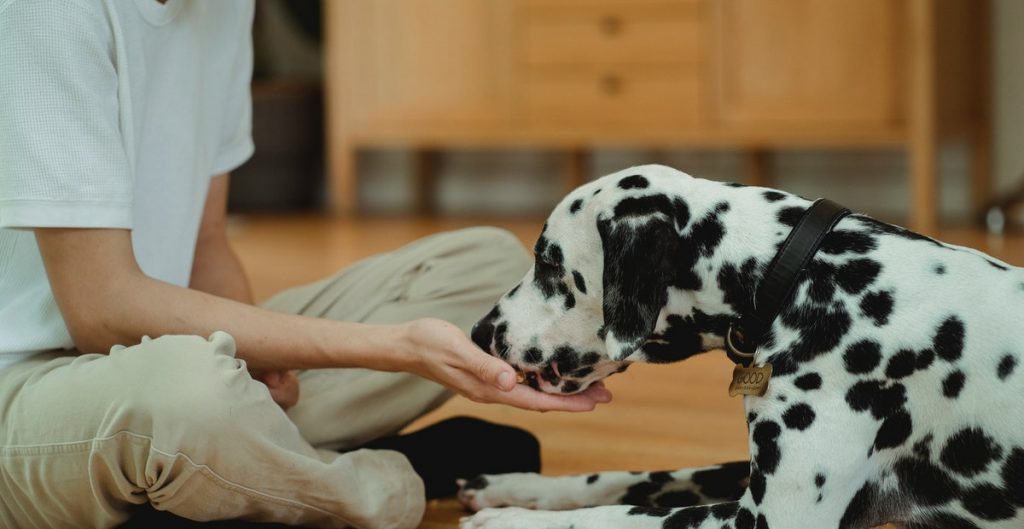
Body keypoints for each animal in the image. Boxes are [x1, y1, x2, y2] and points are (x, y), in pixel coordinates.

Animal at [460, 162, 1024, 523]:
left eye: (548, 261)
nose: (479, 332)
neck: (800, 274)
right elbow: (628, 479)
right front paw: (518, 487)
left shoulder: (763, 519)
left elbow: (617, 516)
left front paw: (512, 520)